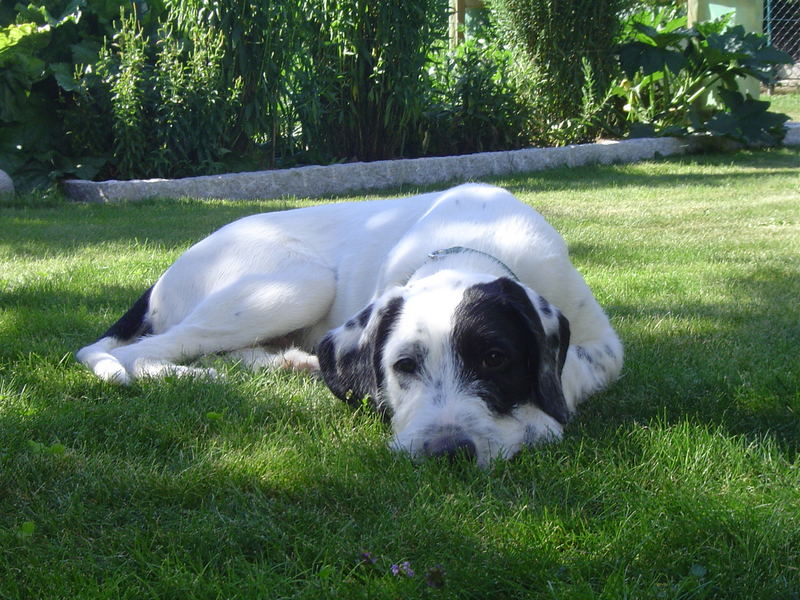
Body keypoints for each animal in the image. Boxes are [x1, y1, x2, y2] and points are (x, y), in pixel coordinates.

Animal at [76, 185, 624, 466]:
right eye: (404, 366)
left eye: (495, 359)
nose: (444, 452)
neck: (471, 238)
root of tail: (162, 278)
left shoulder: (605, 347)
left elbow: (569, 374)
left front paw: (535, 418)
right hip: (300, 281)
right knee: (136, 352)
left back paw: (285, 362)